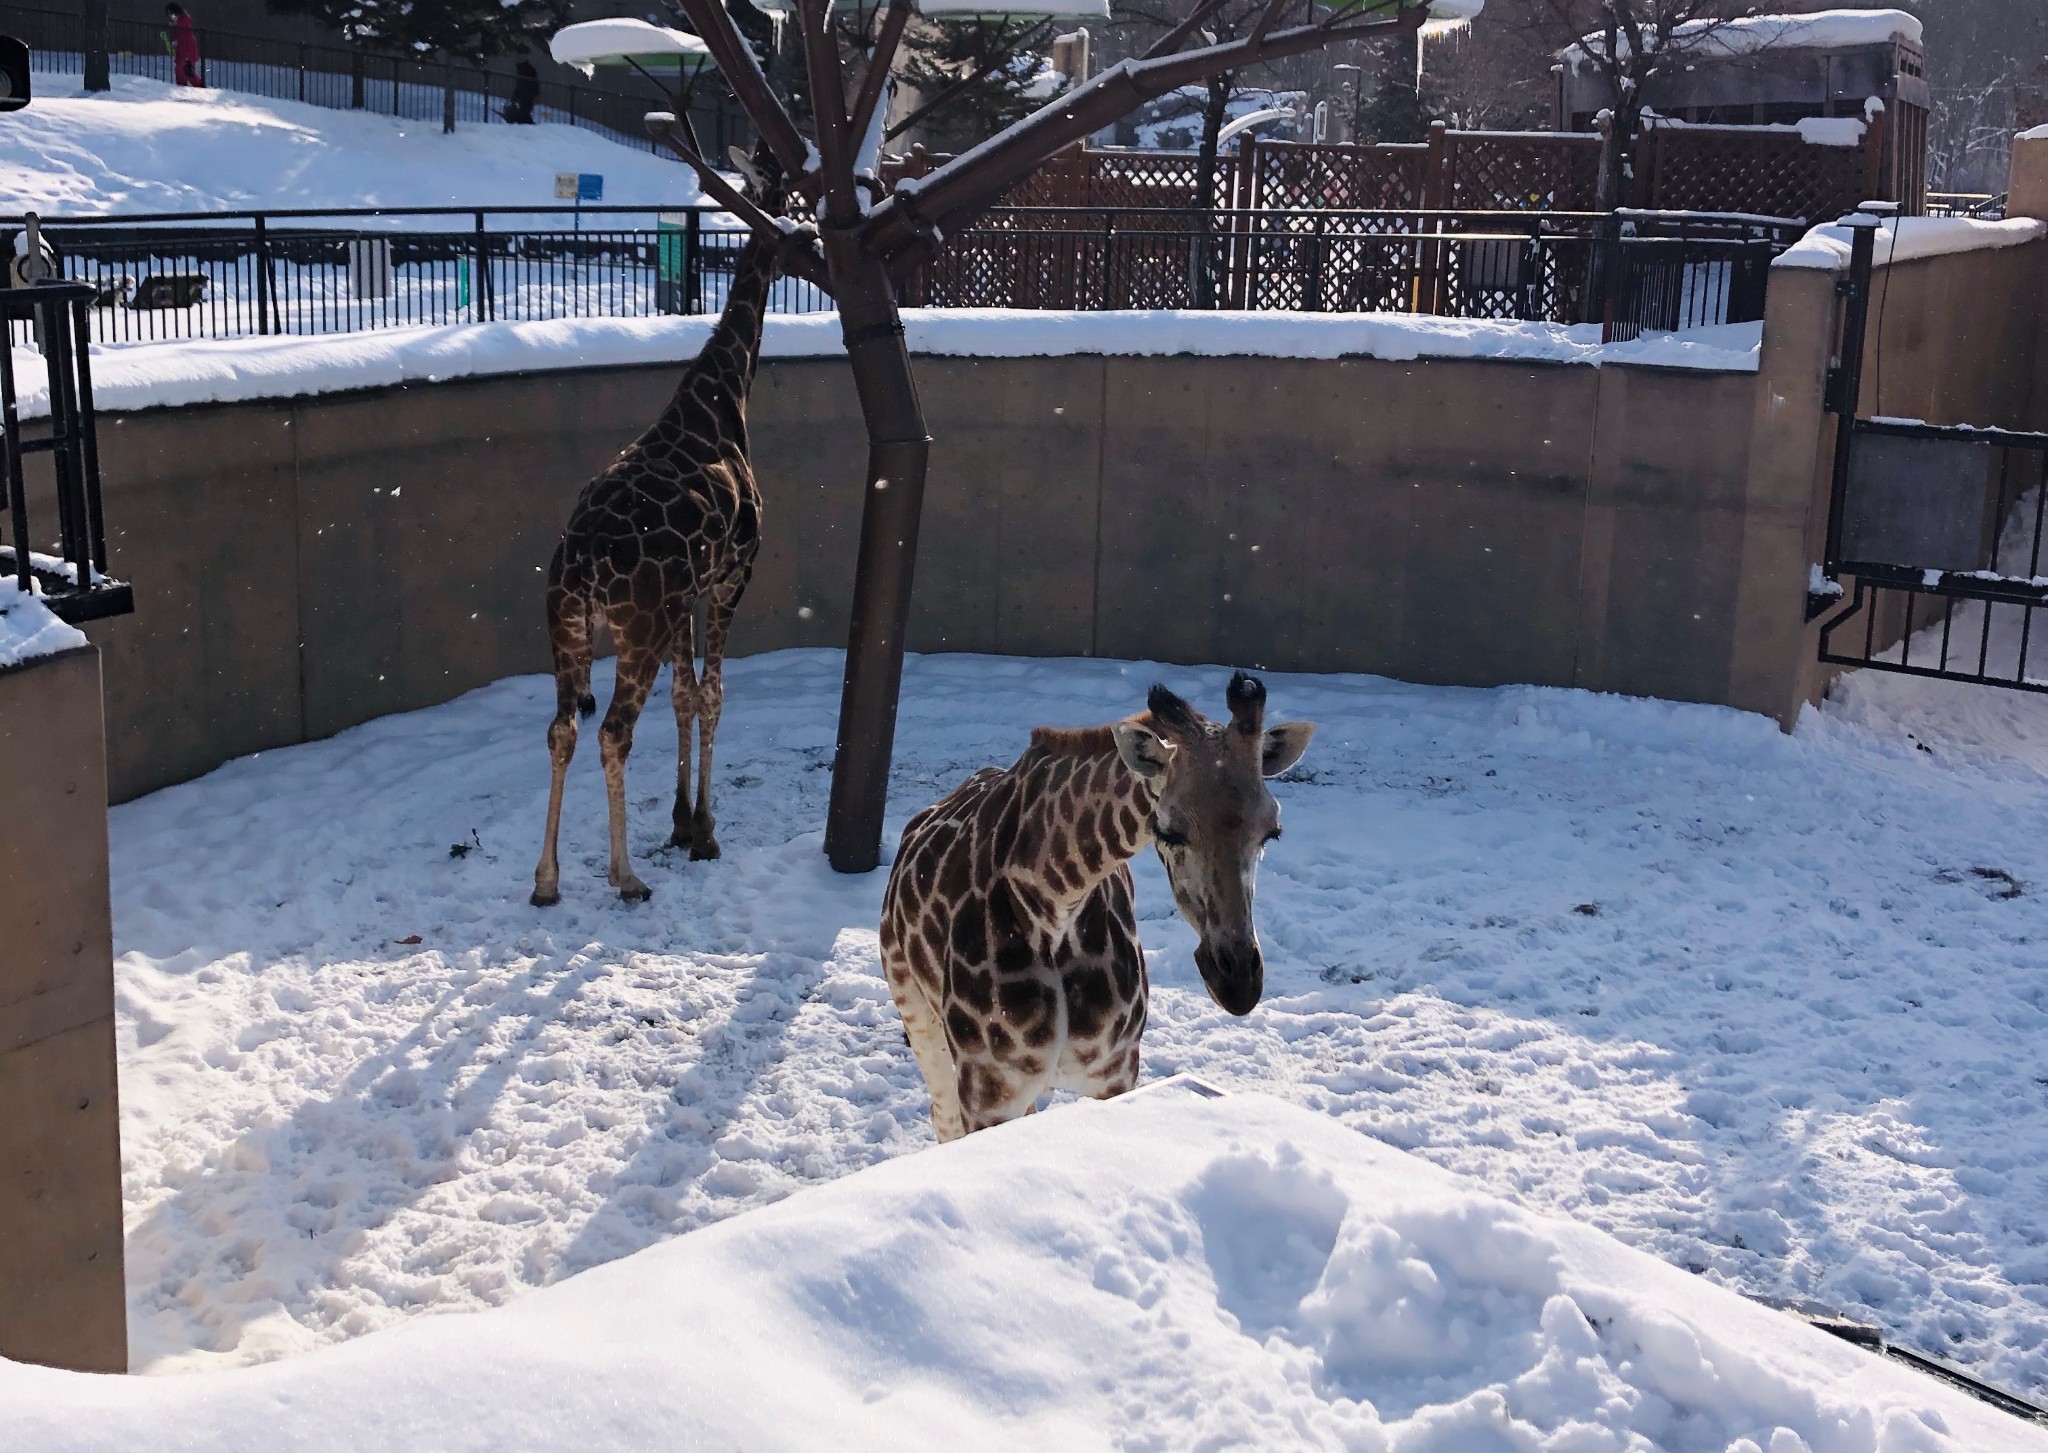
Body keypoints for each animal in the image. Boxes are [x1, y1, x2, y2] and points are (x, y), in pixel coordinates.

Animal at [532, 152, 811, 901]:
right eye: (792, 202)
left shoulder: (687, 595)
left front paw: (684, 823)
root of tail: (585, 561)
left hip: (565, 621)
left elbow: (685, 697)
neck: (722, 394)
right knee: (612, 731)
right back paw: (624, 875)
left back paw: (546, 879)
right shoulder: (732, 575)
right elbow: (712, 695)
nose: (808, 243)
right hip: (636, 628)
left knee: (563, 727)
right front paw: (706, 832)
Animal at [880, 676, 1310, 1139]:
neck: (1056, 901)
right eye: (1168, 830)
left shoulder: (1116, 1072)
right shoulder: (988, 1090)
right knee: (941, 1116)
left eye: (1272, 832)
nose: (1238, 983)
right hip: (917, 1014)